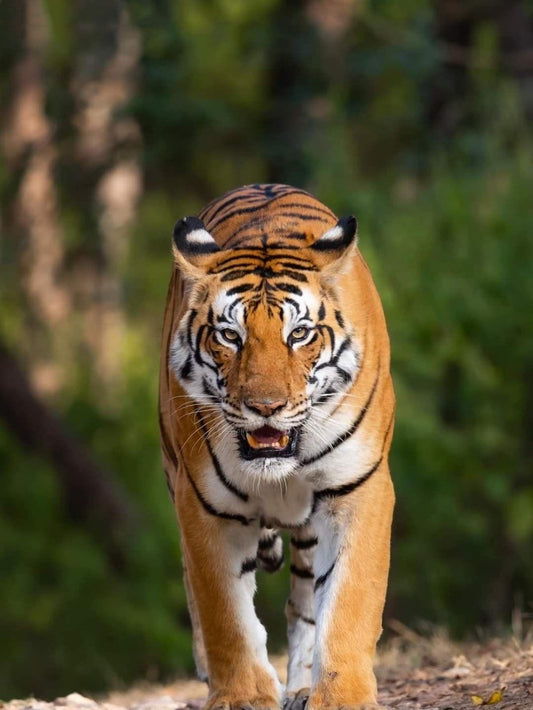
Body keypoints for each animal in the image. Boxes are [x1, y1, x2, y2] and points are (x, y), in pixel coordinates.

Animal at [159, 183, 395, 710]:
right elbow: (224, 613)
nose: (266, 407)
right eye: (230, 335)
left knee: (302, 604)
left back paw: (302, 688)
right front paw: (243, 696)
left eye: (299, 334)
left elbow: (349, 602)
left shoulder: (359, 488)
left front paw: (342, 697)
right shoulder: (205, 505)